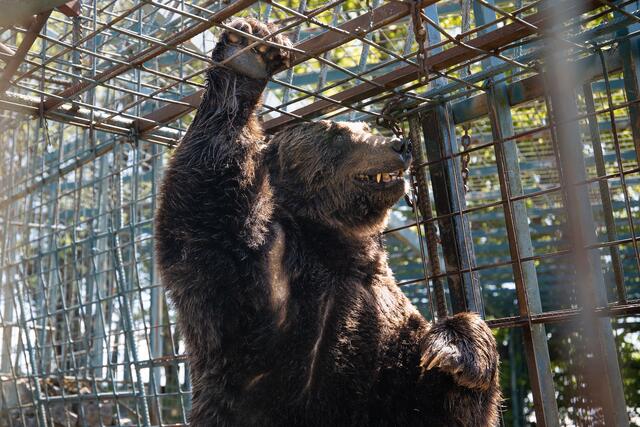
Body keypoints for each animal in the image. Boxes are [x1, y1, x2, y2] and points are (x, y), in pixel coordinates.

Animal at [155, 18, 500, 427]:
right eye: (339, 135)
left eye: (367, 127)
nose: (400, 144)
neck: (337, 246)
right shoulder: (254, 289)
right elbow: (204, 200)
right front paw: (247, 53)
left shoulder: (391, 348)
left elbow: (437, 399)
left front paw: (455, 351)